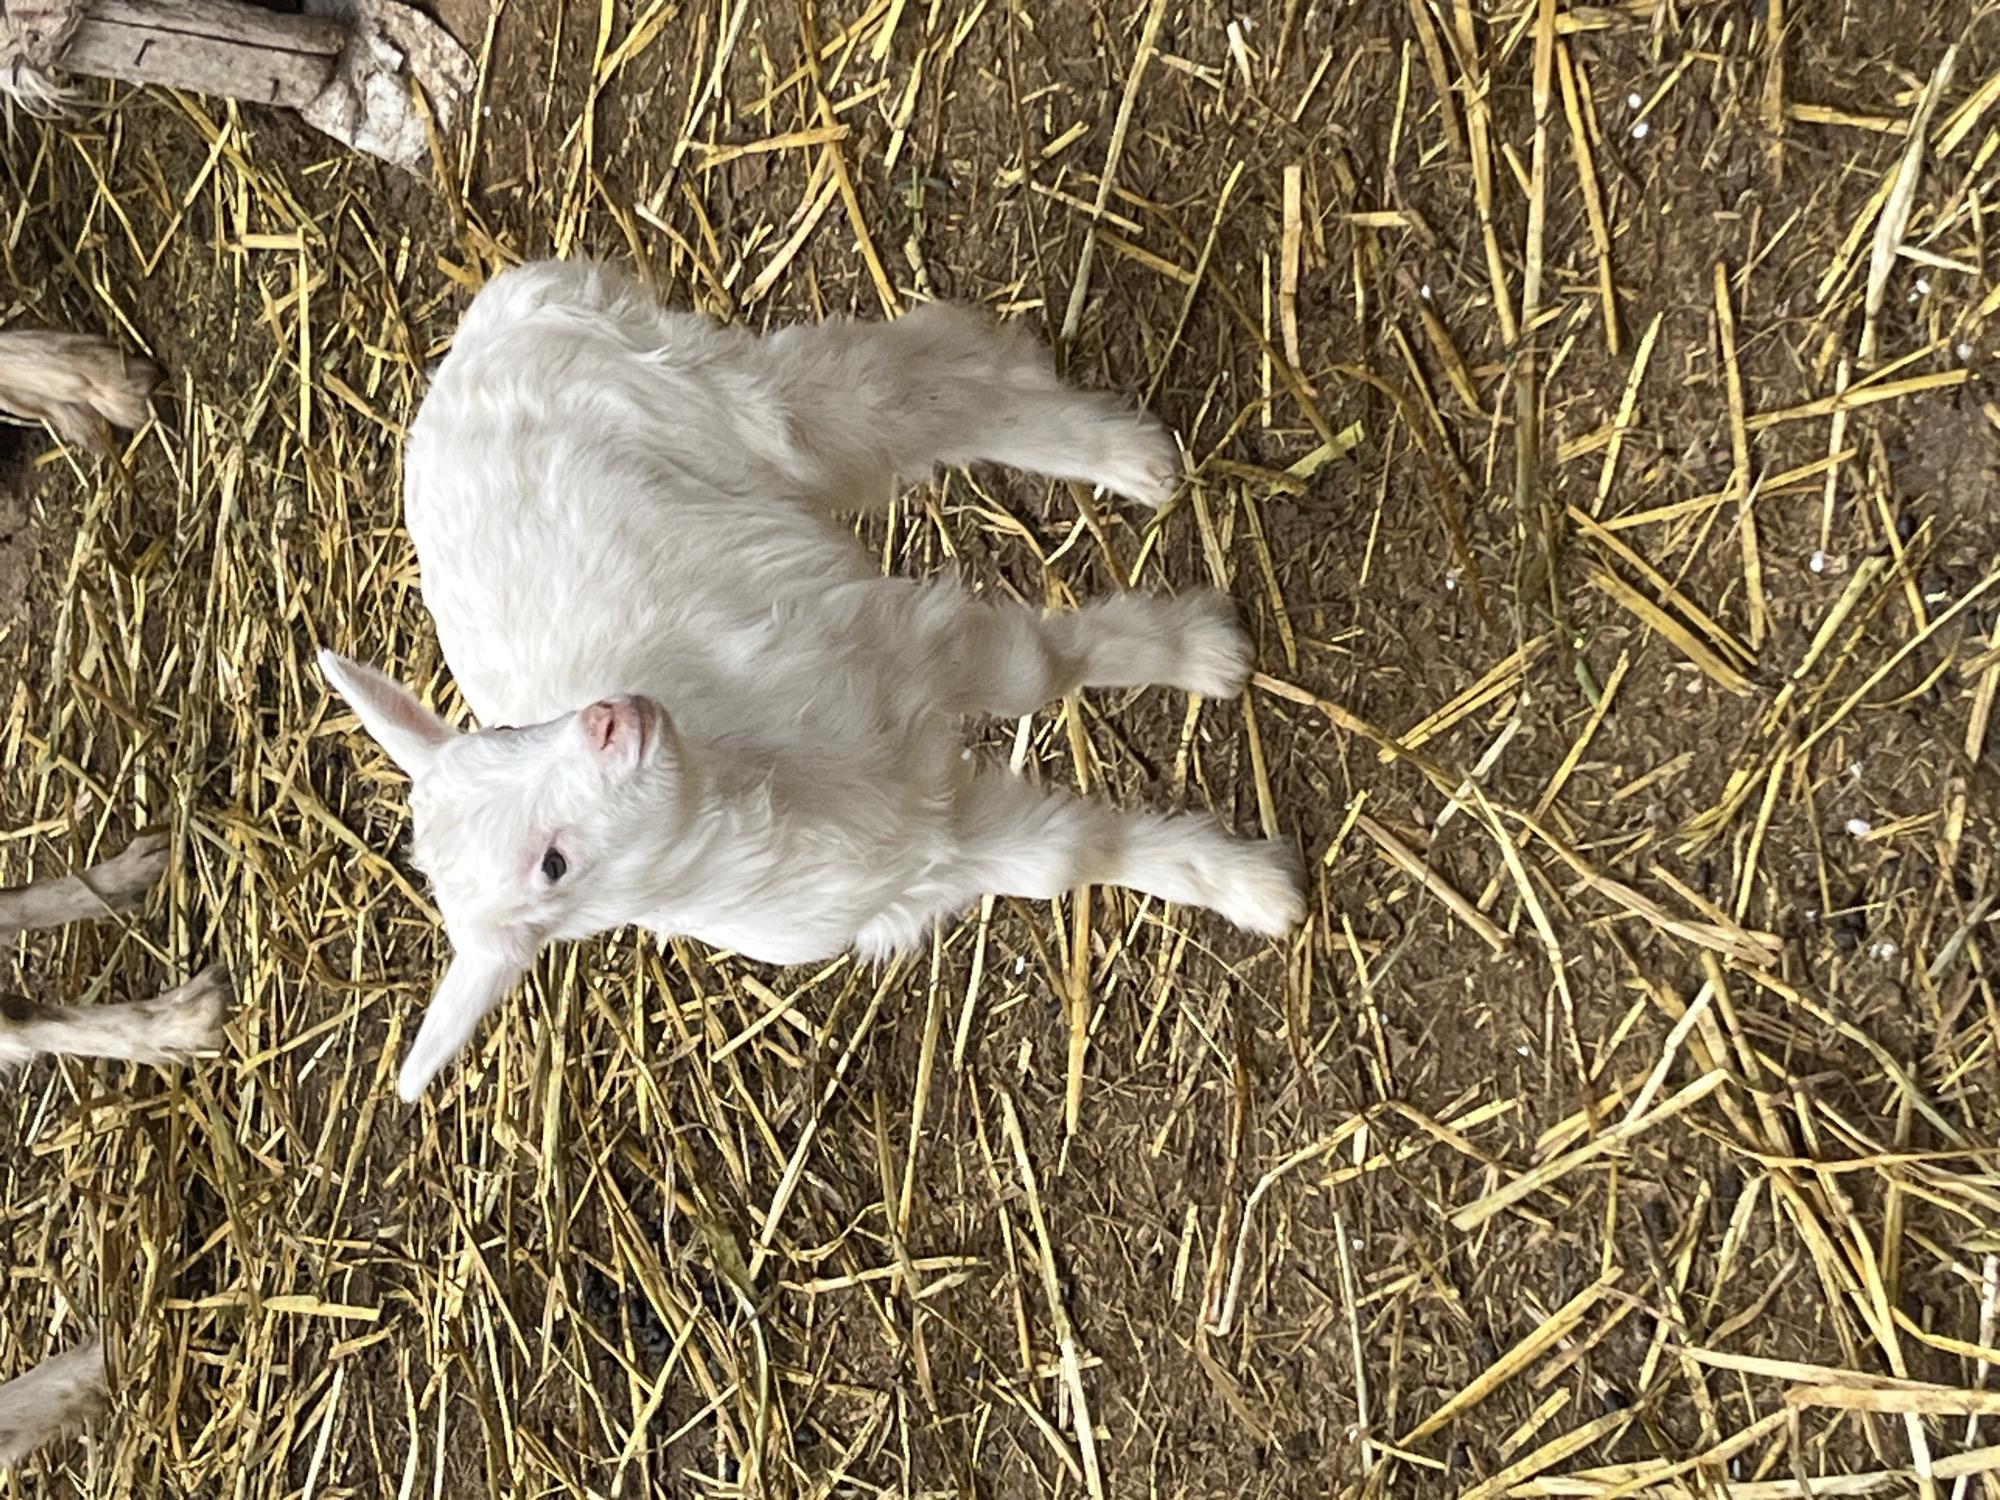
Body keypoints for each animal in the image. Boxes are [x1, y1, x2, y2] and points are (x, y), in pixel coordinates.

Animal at [321, 261, 1306, 1102]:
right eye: (551, 865)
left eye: (508, 735)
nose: (610, 716)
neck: (760, 781)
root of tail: (473, 336)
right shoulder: (934, 859)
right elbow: (1074, 856)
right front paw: (1250, 886)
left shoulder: (901, 645)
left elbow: (1041, 672)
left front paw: (1203, 655)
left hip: (715, 399)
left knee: (901, 385)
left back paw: (1119, 450)